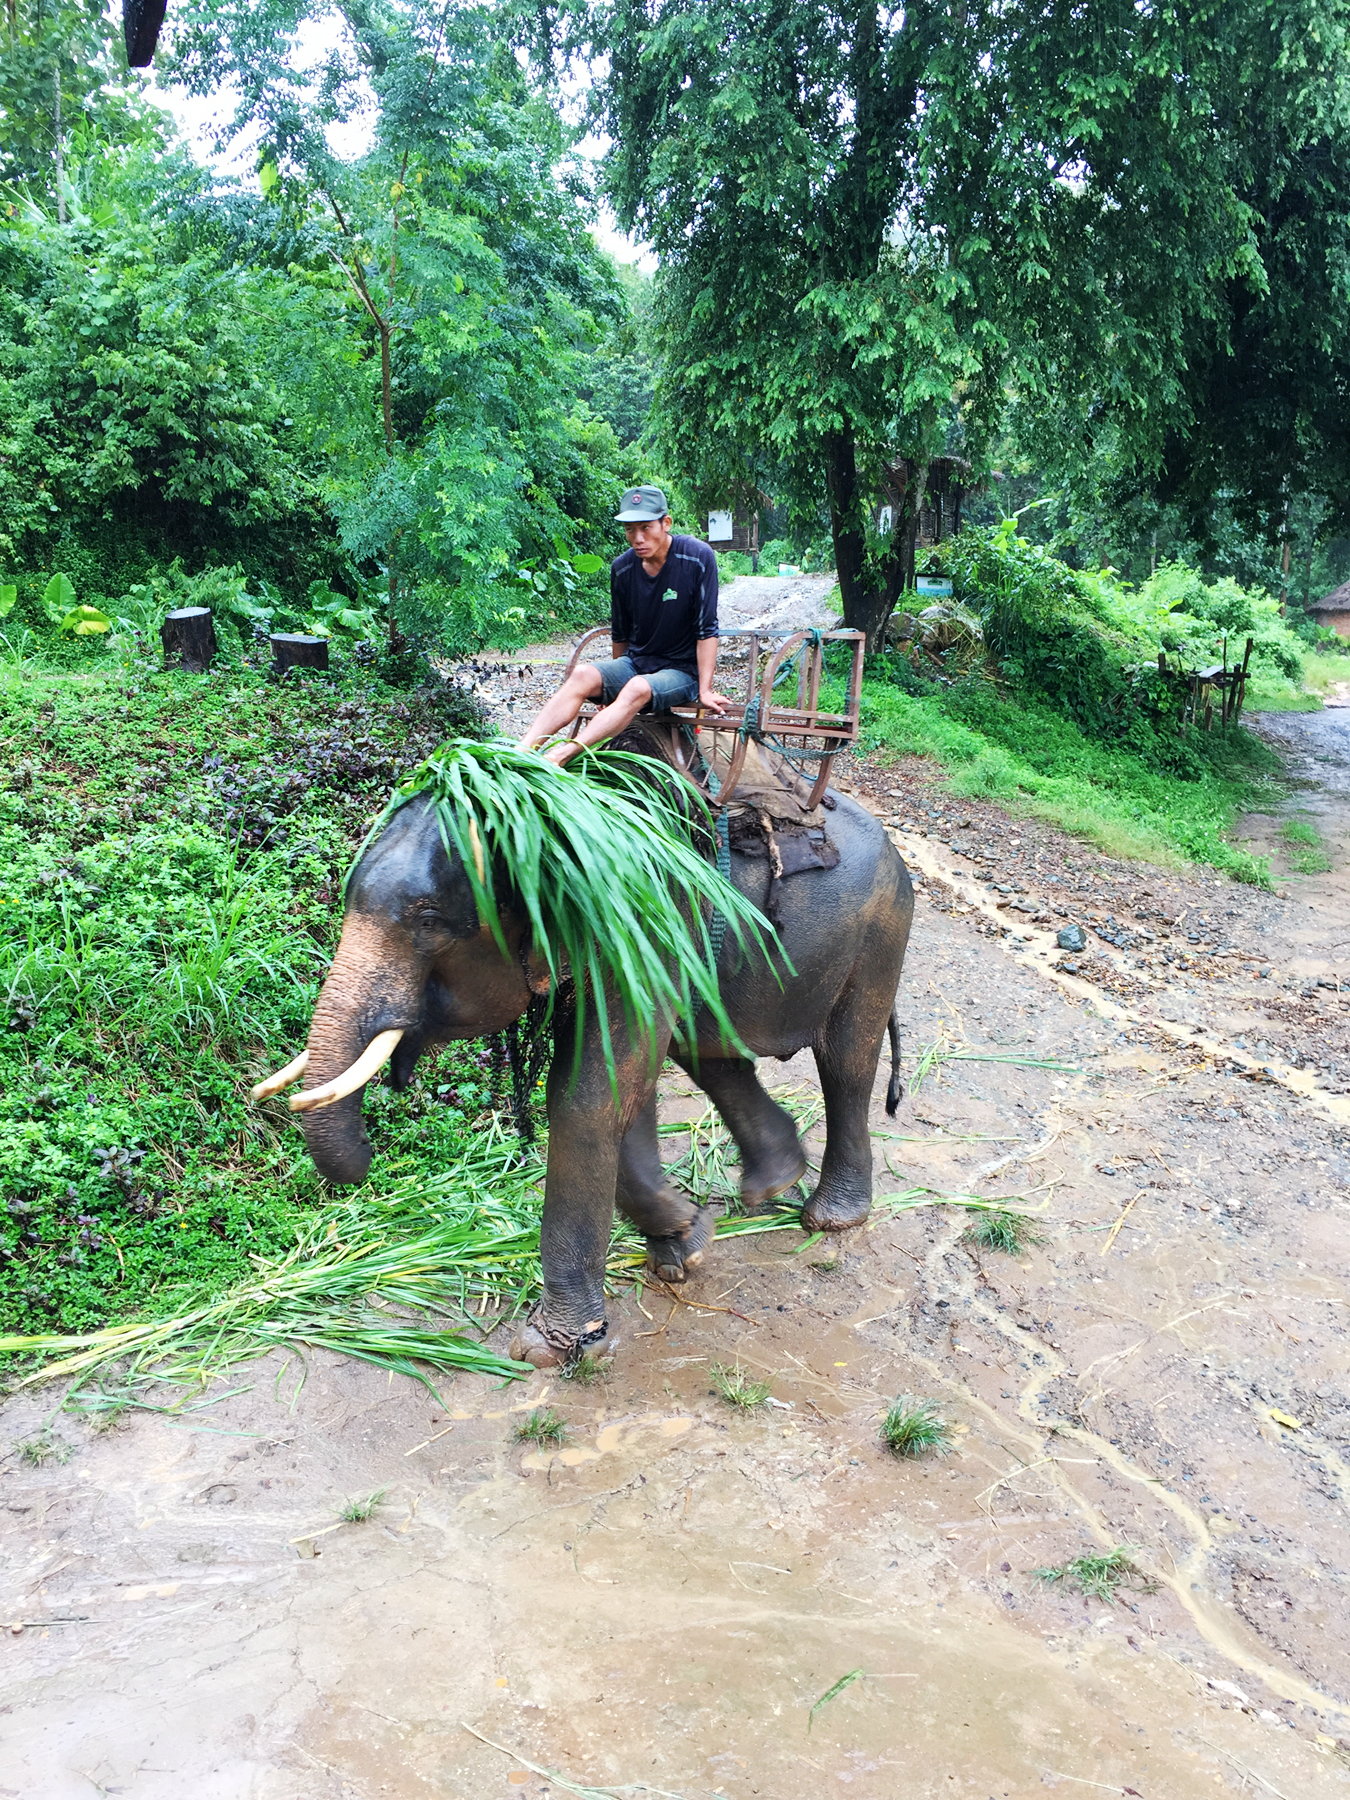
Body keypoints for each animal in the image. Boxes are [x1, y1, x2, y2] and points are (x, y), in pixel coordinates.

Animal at [261, 730, 921, 1360]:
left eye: (426, 920)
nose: (367, 1156)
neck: (549, 835)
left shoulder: (642, 925)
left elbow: (588, 1097)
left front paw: (552, 1348)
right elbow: (620, 1089)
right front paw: (686, 1240)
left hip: (880, 932)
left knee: (845, 1063)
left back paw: (829, 1220)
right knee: (710, 1055)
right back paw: (772, 1184)